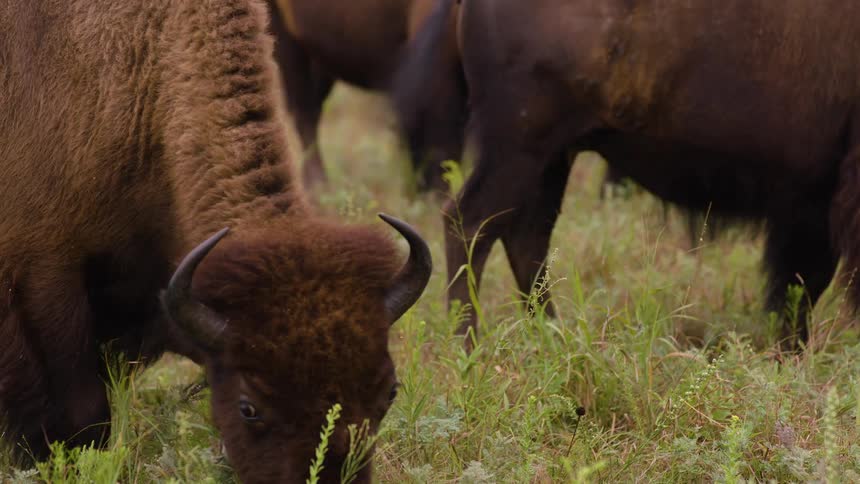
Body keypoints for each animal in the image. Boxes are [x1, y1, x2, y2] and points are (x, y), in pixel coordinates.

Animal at [426, 0, 860, 349]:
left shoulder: (810, 201)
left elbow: (798, 286)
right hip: (519, 149)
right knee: (470, 224)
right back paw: (470, 349)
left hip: (551, 157)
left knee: (525, 235)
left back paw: (552, 339)